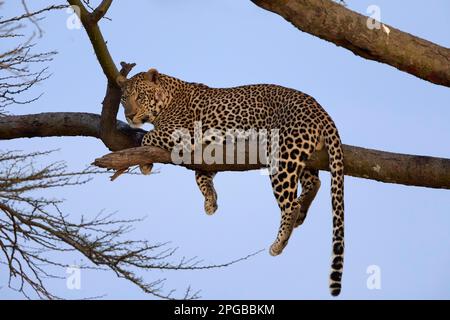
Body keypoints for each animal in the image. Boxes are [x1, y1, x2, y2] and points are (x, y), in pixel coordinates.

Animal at [115, 69, 344, 296]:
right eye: (124, 98)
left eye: (140, 96)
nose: (129, 115)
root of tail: (319, 108)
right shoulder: (208, 153)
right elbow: (201, 176)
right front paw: (210, 201)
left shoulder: (183, 133)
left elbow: (147, 138)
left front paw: (145, 164)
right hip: (305, 155)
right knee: (314, 182)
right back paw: (302, 212)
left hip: (283, 155)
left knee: (291, 204)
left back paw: (280, 241)